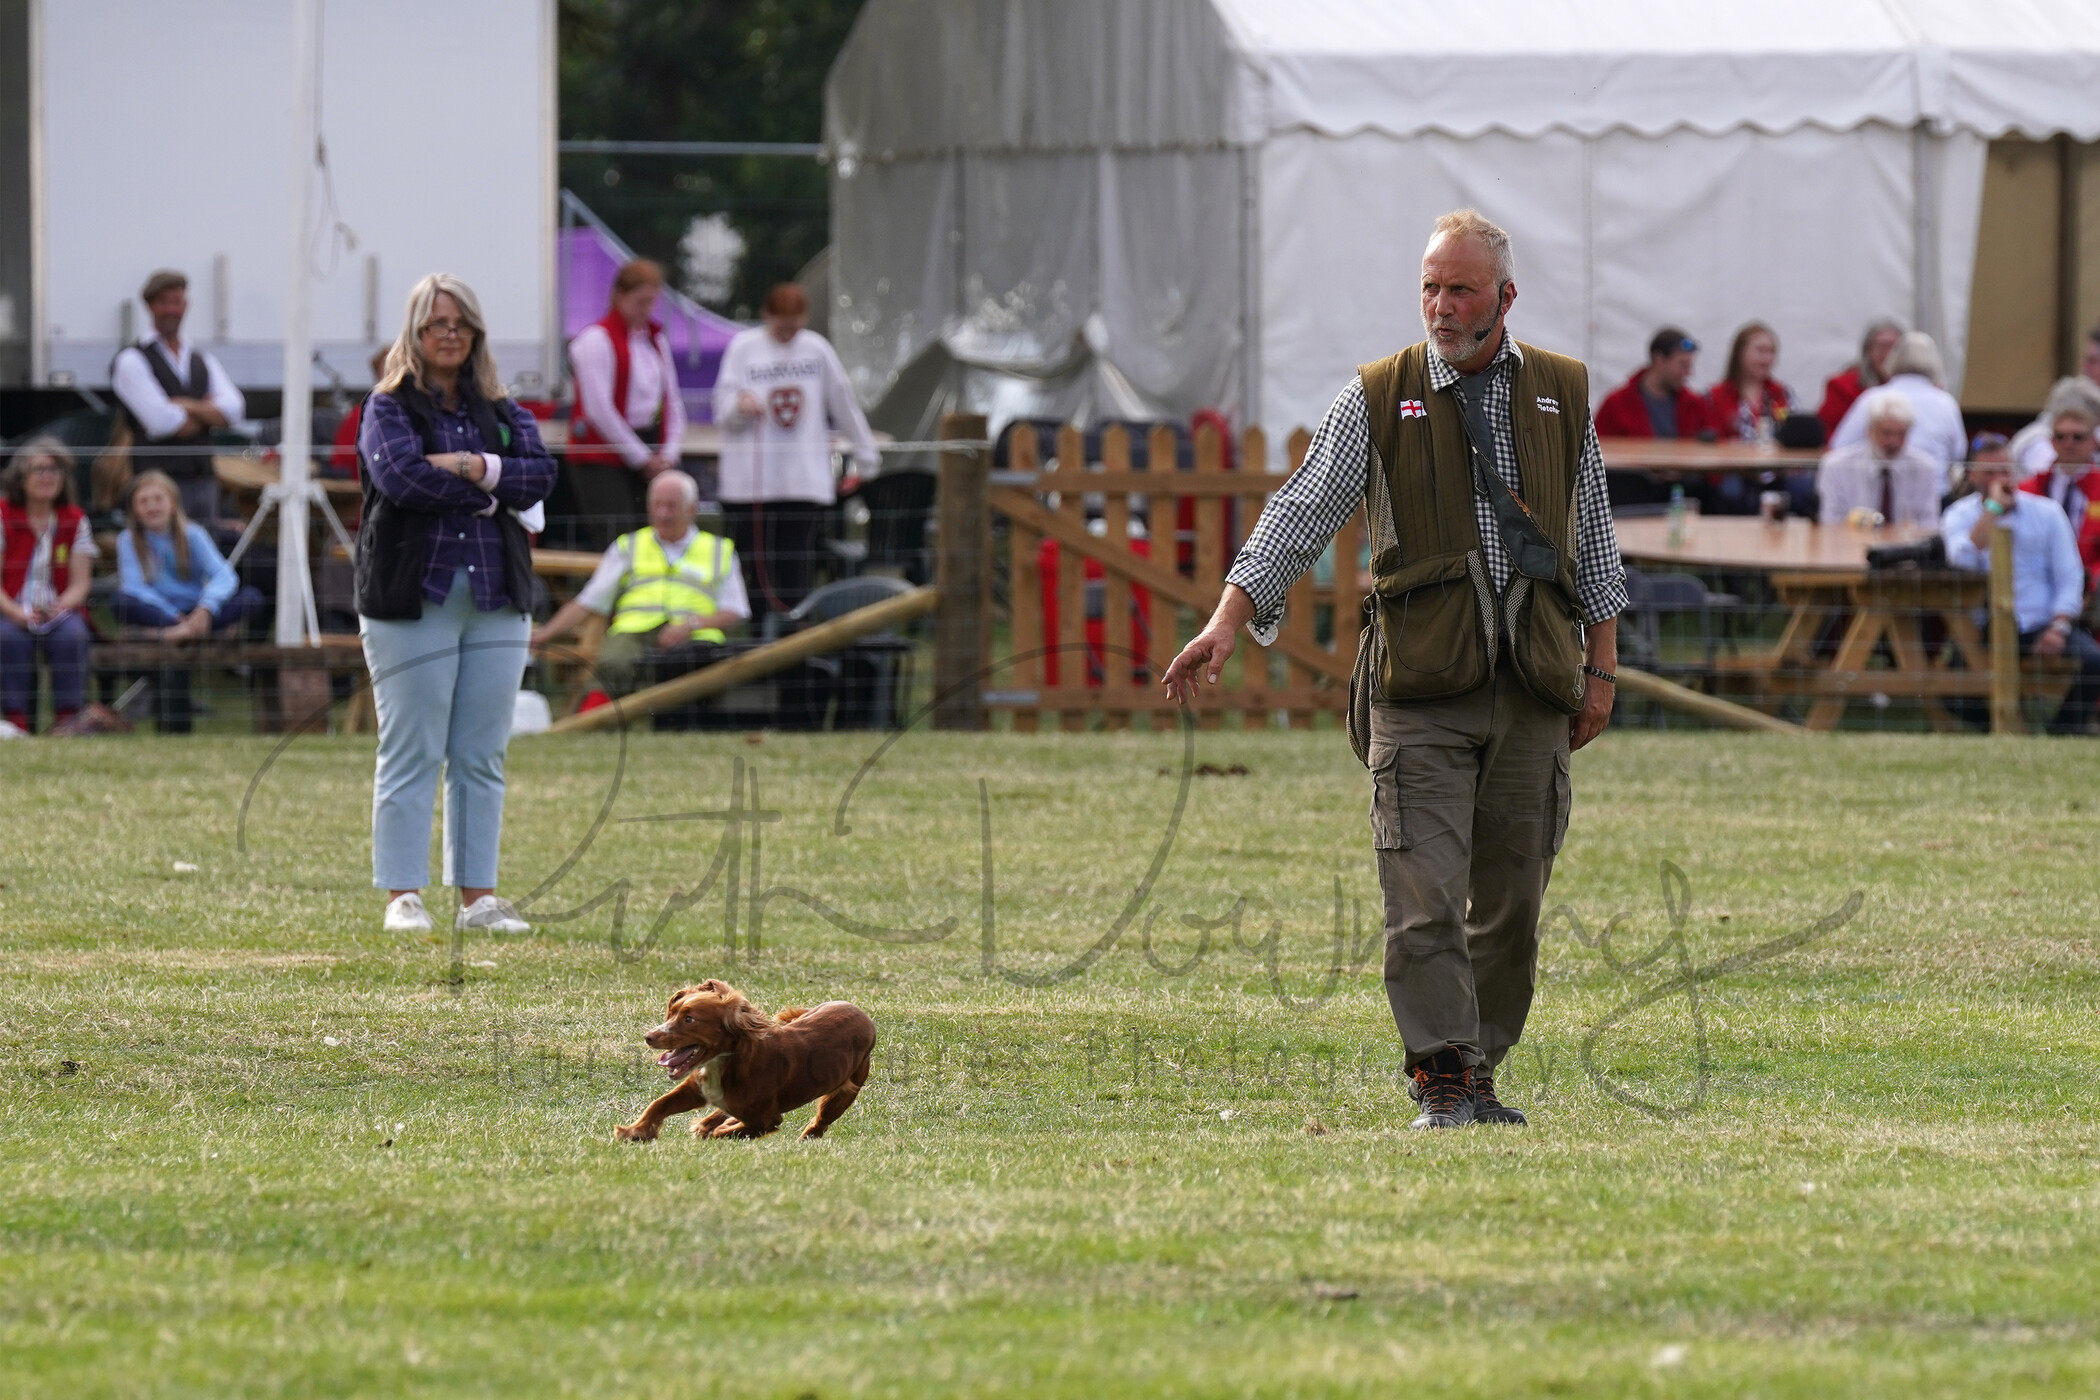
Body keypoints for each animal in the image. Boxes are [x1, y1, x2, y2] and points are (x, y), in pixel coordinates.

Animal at [613, 982, 873, 1141]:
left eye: (689, 1019)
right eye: (672, 1012)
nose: (649, 1036)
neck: (725, 1063)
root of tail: (862, 1015)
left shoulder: (767, 1120)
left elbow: (730, 1133)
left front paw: (710, 1131)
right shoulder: (695, 1089)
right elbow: (659, 1104)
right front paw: (634, 1132)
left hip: (842, 1094)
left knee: (819, 1123)